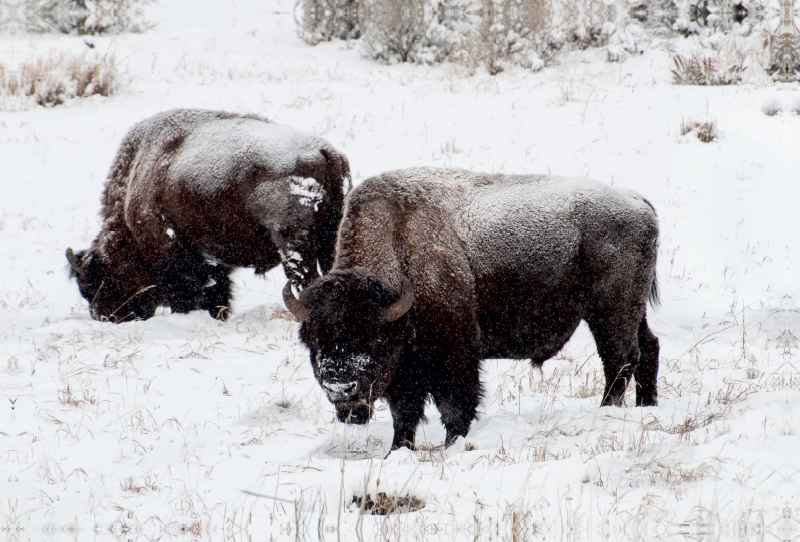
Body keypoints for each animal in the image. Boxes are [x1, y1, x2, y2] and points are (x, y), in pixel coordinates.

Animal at [70, 110, 352, 324]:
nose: (106, 317)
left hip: (294, 245)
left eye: (98, 282)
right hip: (331, 239)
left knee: (305, 280)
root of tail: (325, 151)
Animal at [284, 169, 660, 450]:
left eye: (373, 338)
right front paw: (398, 450)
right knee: (648, 347)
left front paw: (454, 444)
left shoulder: (454, 357)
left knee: (620, 359)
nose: (340, 388)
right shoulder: (405, 372)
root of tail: (637, 202)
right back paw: (647, 406)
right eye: (312, 340)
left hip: (610, 311)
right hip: (630, 310)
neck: (398, 242)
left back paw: (608, 410)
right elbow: (404, 415)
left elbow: (455, 408)